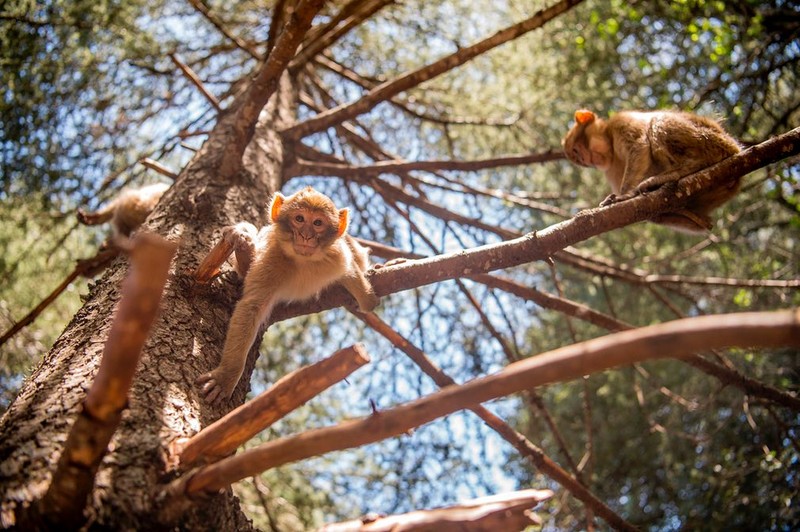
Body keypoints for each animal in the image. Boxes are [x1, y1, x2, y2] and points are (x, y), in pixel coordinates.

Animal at [195, 187, 380, 404]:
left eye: (318, 223)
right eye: (299, 219)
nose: (306, 236)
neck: (303, 260)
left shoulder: (337, 256)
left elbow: (350, 269)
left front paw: (366, 296)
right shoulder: (272, 260)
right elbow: (251, 307)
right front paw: (226, 376)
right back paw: (244, 245)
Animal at [560, 109, 740, 232]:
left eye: (576, 150)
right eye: (579, 160)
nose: (586, 161)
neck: (612, 148)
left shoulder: (621, 122)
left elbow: (638, 146)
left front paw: (624, 196)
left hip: (711, 141)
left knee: (658, 120)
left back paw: (685, 169)